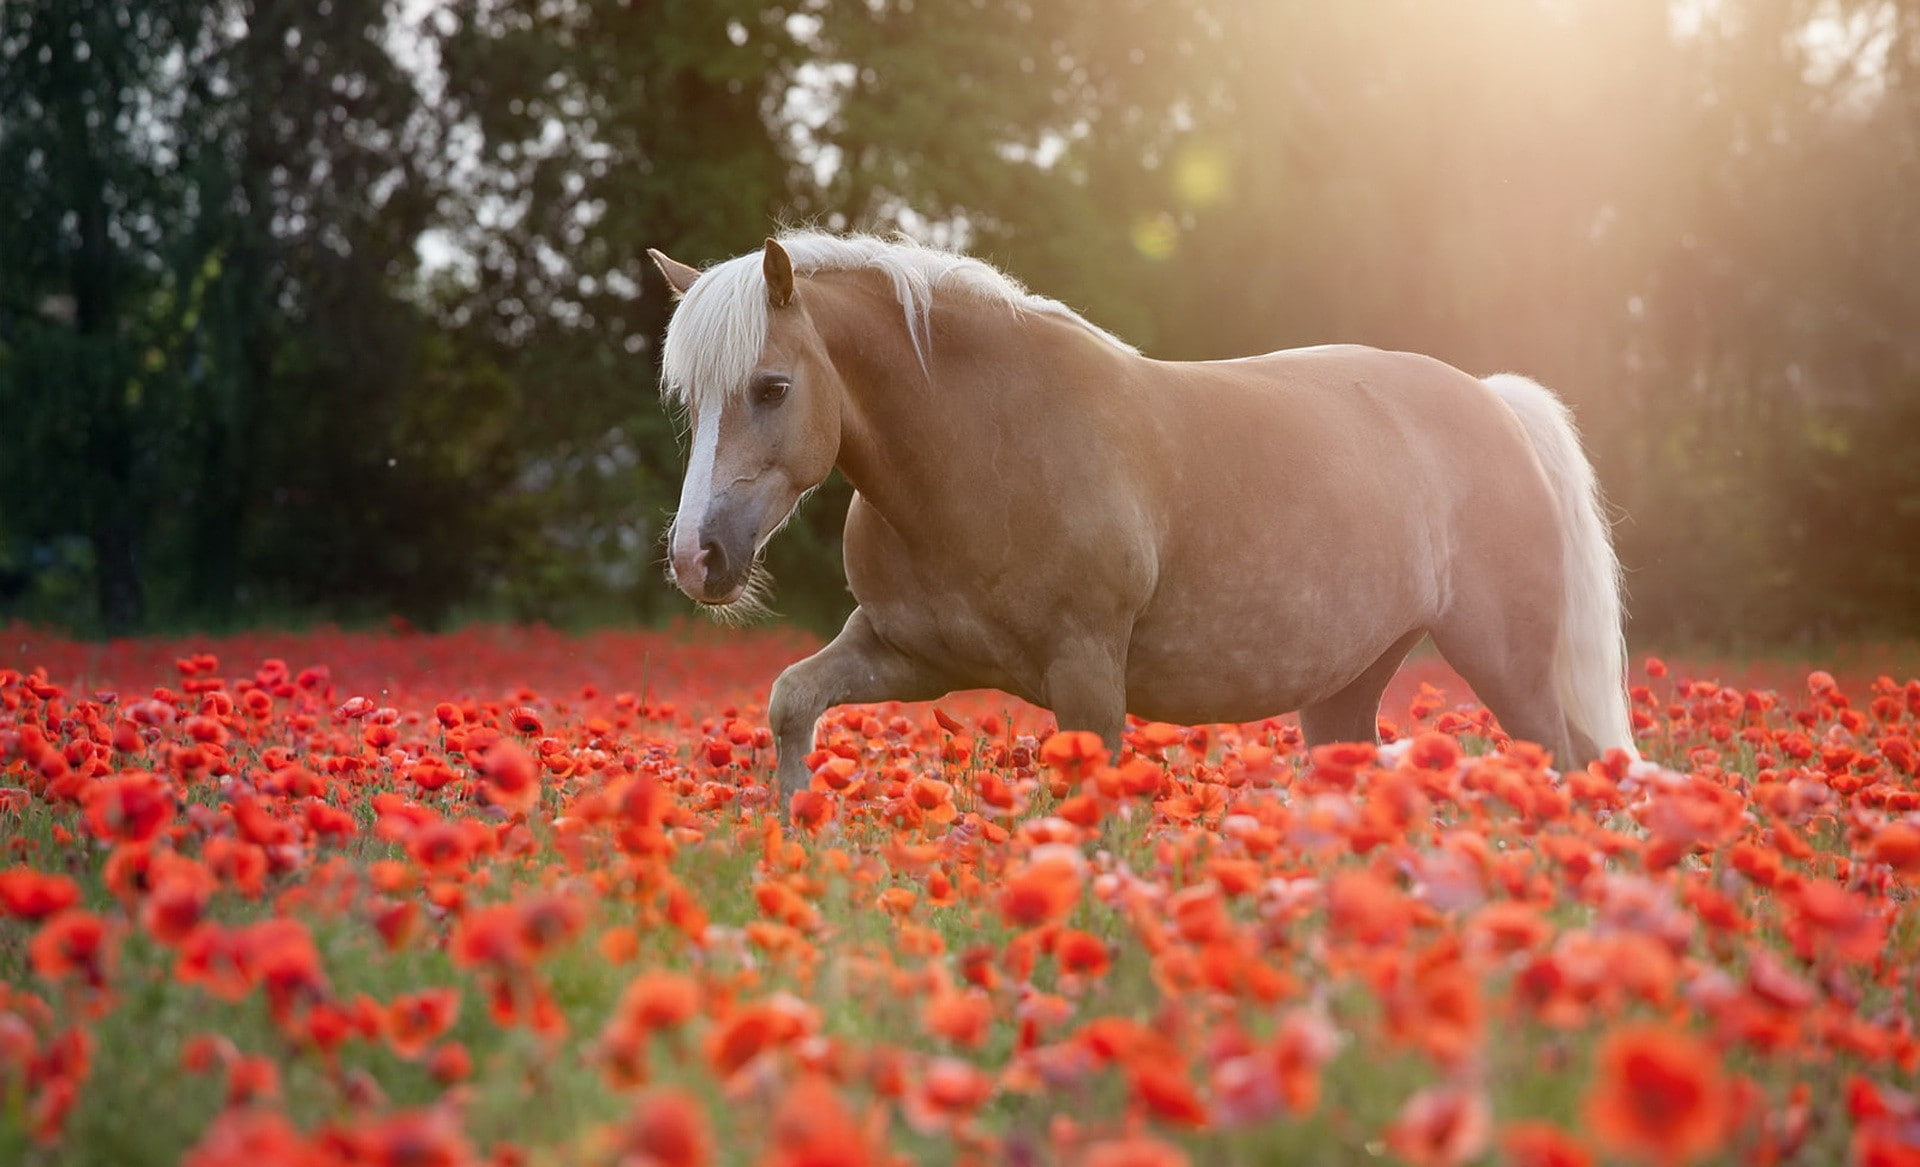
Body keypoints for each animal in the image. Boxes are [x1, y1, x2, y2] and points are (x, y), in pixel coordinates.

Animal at [647, 231, 1633, 814]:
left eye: (772, 387)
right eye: (690, 399)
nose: (698, 558)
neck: (989, 445)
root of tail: (1495, 403)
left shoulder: (1087, 674)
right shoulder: (908, 655)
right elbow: (789, 701)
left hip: (1505, 662)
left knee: (1564, 762)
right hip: (1347, 689)